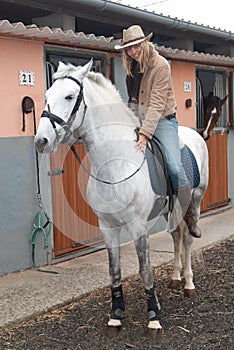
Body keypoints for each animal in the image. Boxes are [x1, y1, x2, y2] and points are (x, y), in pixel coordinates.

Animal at [34, 60, 208, 340]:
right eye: (47, 95)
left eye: (70, 96)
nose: (42, 141)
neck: (116, 162)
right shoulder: (107, 226)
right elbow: (114, 271)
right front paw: (115, 315)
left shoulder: (138, 228)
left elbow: (145, 271)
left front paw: (154, 319)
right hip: (170, 210)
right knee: (176, 236)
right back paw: (175, 278)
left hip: (195, 201)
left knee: (189, 239)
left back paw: (189, 283)